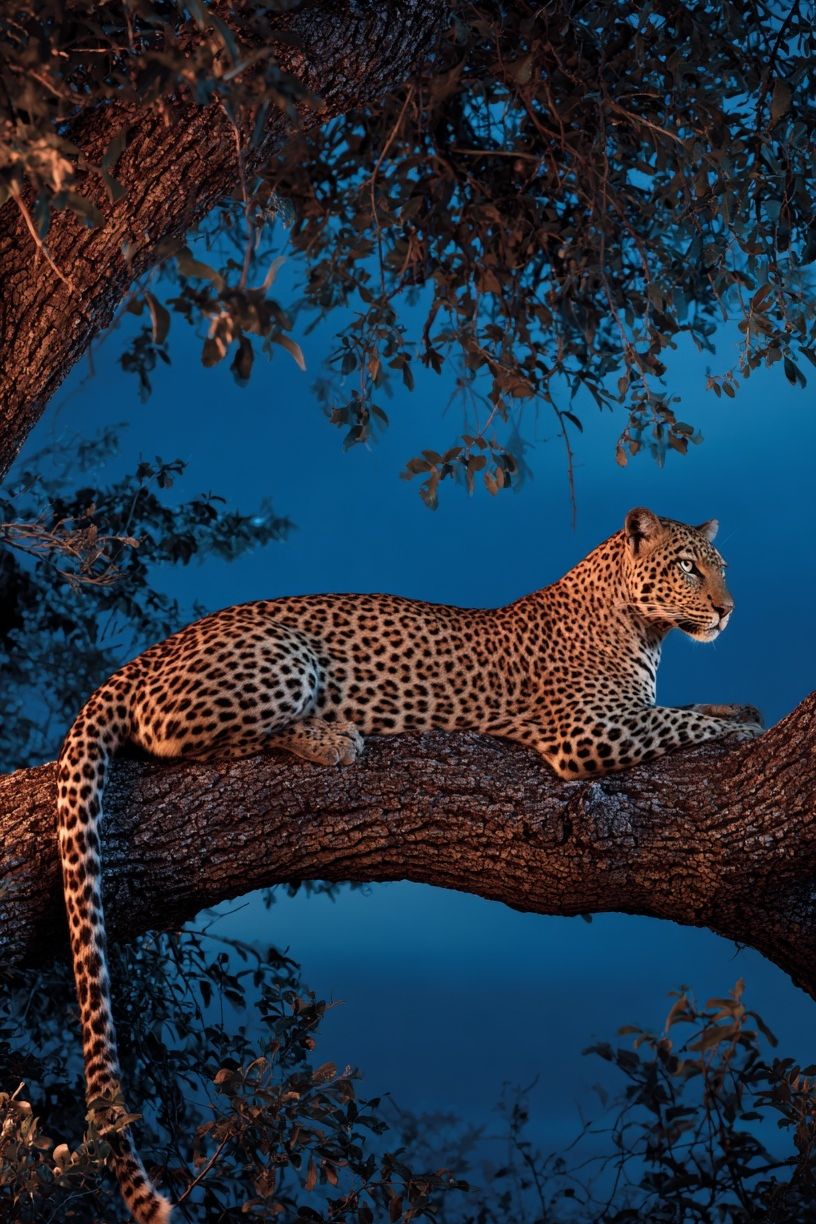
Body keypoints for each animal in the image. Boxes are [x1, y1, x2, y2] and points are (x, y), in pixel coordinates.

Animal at [56, 506, 763, 1222]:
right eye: (688, 568)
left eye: (722, 568)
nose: (729, 611)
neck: (644, 628)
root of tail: (141, 658)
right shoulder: (590, 732)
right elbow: (681, 724)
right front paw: (745, 731)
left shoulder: (623, 715)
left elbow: (690, 709)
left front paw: (740, 708)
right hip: (284, 659)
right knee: (187, 740)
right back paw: (330, 737)